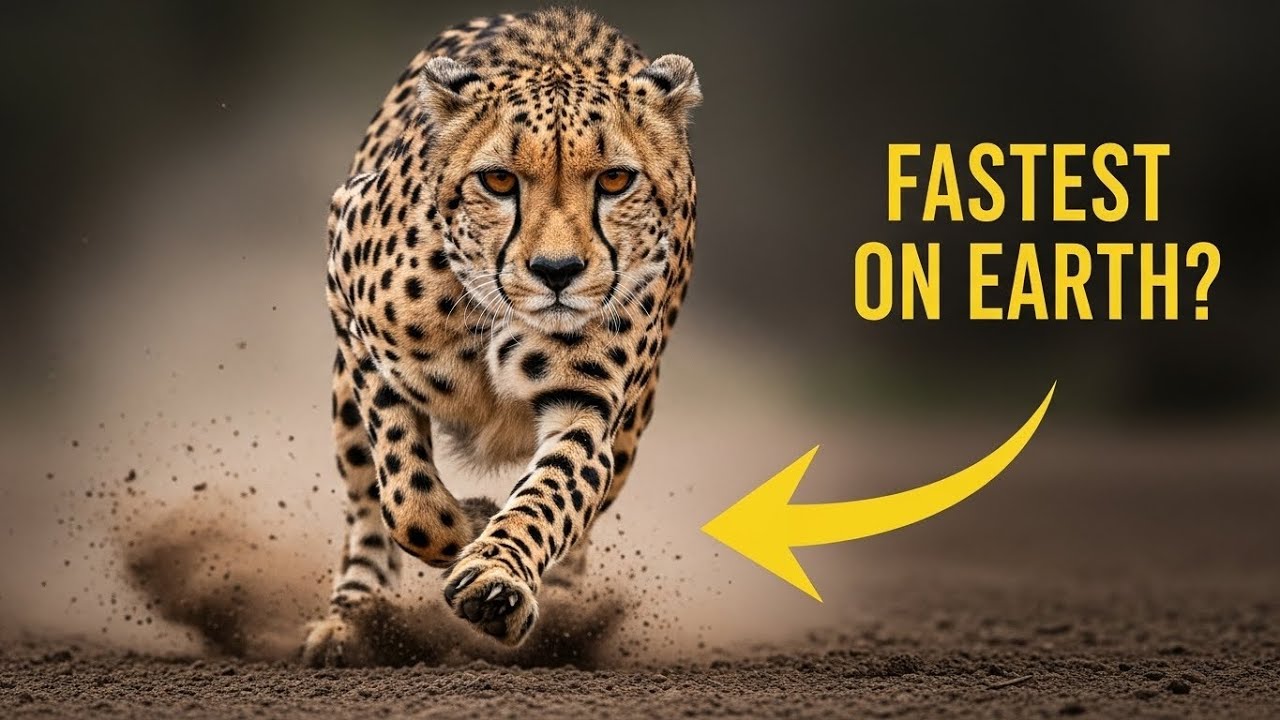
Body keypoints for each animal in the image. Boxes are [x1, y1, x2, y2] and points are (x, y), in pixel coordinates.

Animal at [302, 8, 700, 665]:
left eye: (616, 180)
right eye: (498, 182)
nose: (557, 272)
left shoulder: (586, 407)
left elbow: (553, 494)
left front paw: (496, 577)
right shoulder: (353, 311)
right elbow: (406, 499)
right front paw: (468, 521)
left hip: (631, 429)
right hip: (342, 401)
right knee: (364, 504)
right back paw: (349, 626)